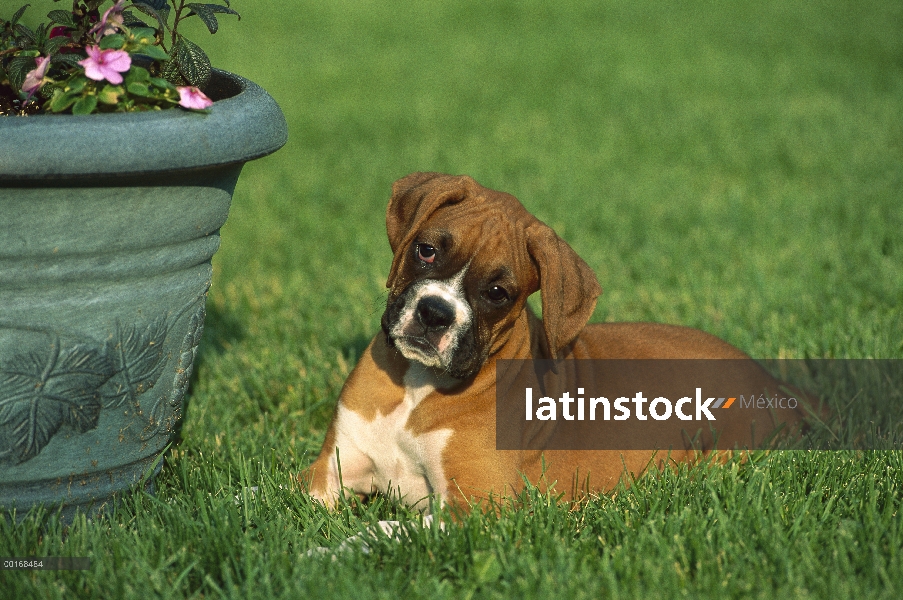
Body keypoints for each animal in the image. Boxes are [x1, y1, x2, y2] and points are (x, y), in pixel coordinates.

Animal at [304, 172, 804, 510]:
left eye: (497, 293)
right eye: (426, 250)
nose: (434, 314)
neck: (415, 388)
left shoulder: (476, 509)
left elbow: (376, 533)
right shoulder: (326, 473)